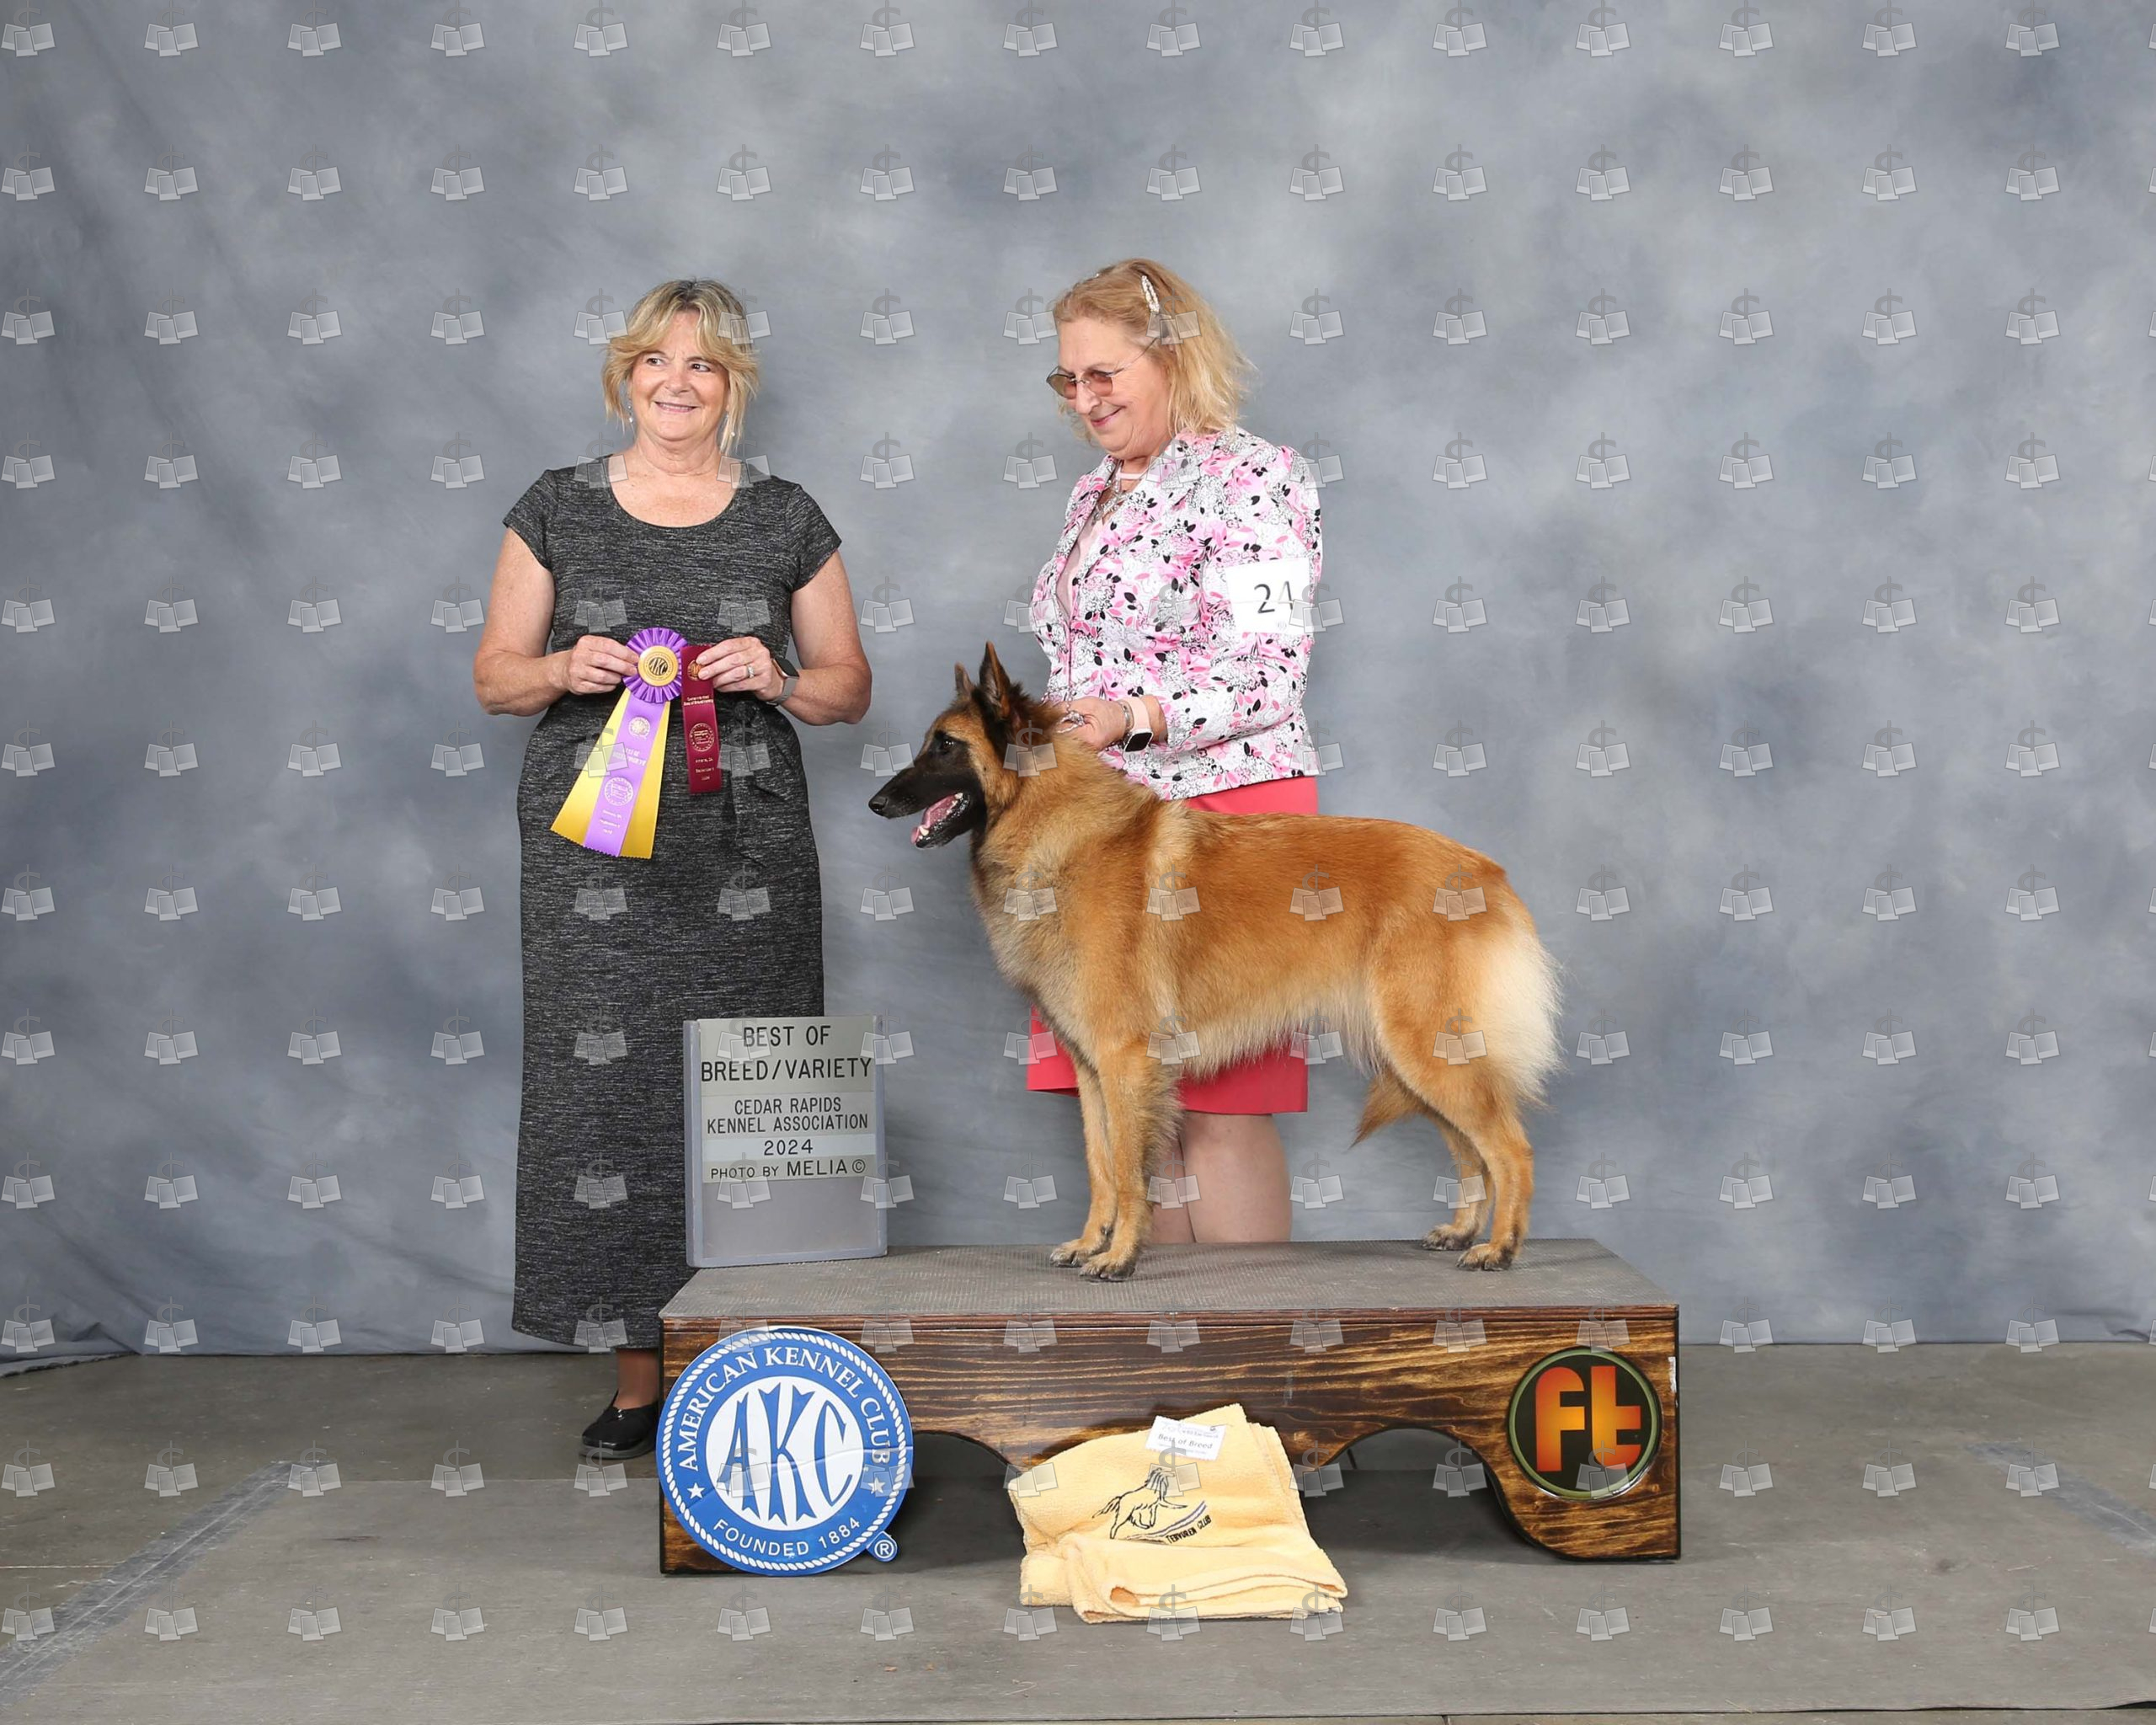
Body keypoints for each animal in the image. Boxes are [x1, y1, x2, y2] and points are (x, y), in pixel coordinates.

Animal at [868, 642, 1564, 1280]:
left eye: (944, 746)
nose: (876, 803)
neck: (1057, 831)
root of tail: (1485, 872)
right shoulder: (1091, 1069)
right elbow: (1100, 1162)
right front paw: (1091, 1243)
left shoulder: (1125, 1060)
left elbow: (1129, 1168)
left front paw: (1119, 1256)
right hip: (1417, 1059)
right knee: (1472, 1151)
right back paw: (1463, 1230)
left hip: (1426, 1047)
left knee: (1511, 1150)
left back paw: (1500, 1248)